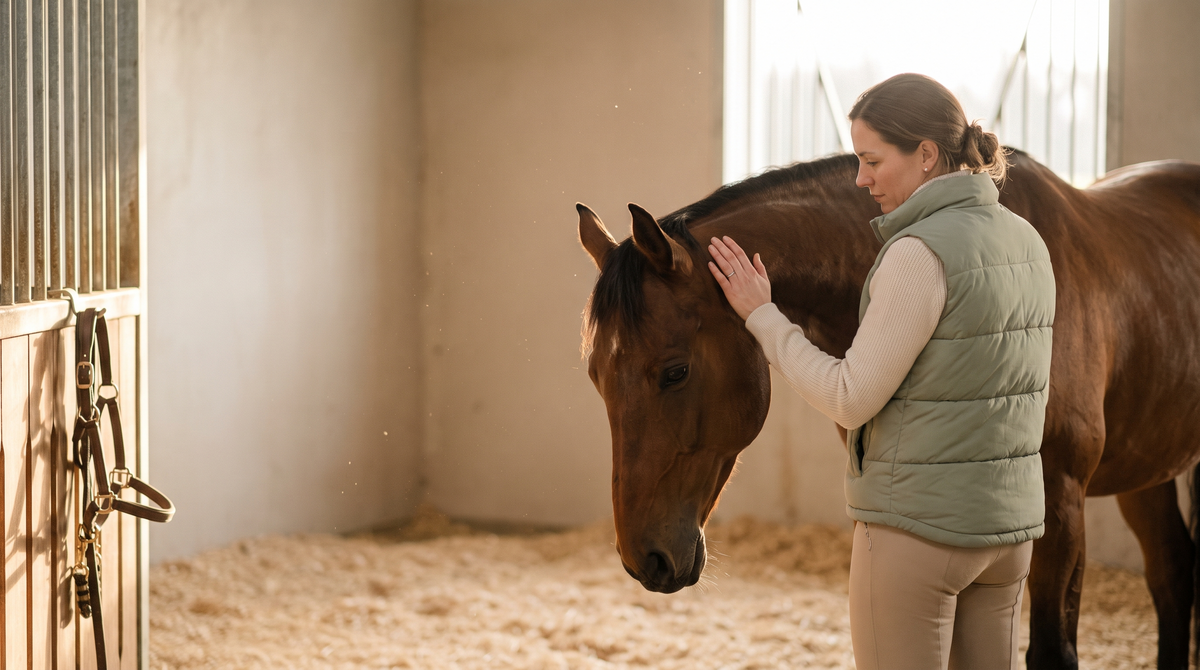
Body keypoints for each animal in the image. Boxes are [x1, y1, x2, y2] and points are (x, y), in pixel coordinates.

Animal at [577, 150, 1200, 670]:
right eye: (595, 378)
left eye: (675, 372)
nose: (644, 559)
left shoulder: (1063, 502)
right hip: (1147, 473)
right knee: (1172, 572)